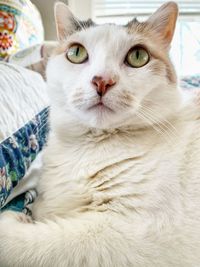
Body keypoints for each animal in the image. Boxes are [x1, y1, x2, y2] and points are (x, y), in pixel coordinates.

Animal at [0, 1, 200, 266]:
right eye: (76, 53)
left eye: (138, 56)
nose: (102, 80)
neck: (88, 148)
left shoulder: (129, 236)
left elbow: (40, 243)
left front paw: (15, 219)